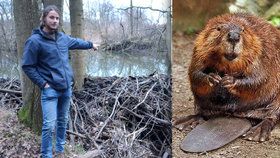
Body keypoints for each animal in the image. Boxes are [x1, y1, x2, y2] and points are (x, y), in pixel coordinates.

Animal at [174, 13, 280, 142]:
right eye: (218, 28)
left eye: (243, 30)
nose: (234, 36)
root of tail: (239, 115)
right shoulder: (199, 48)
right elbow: (195, 72)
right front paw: (213, 78)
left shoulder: (263, 50)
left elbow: (259, 77)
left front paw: (228, 80)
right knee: (202, 114)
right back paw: (183, 122)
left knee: (271, 117)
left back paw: (256, 133)